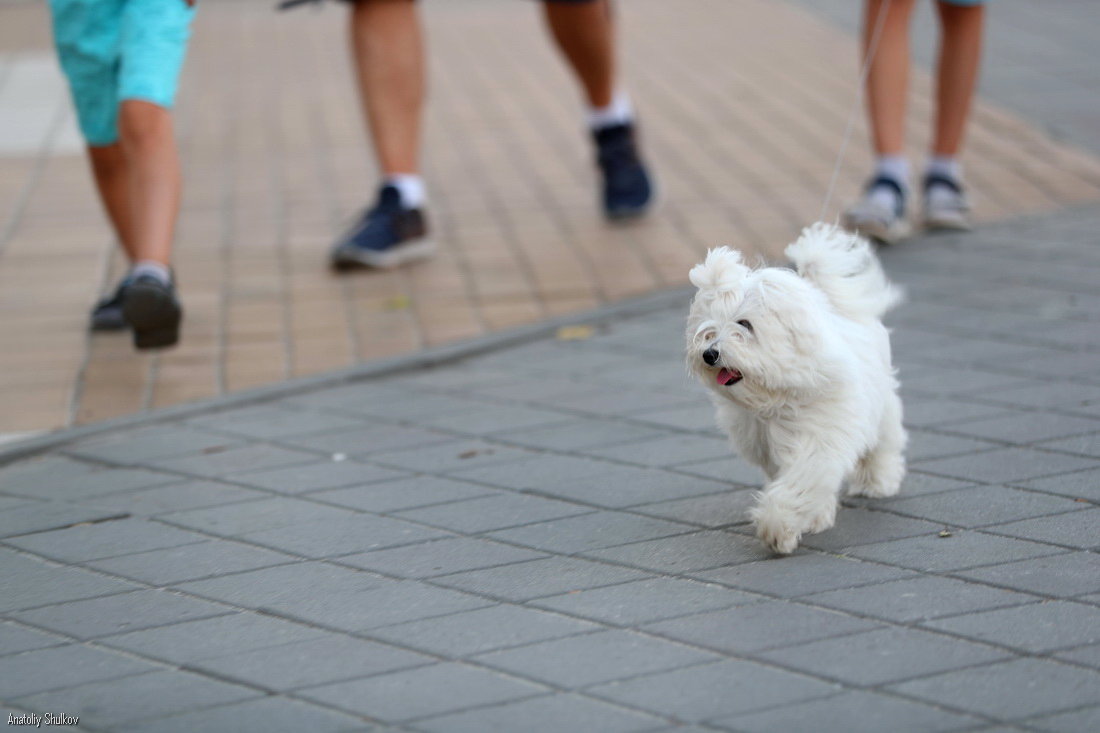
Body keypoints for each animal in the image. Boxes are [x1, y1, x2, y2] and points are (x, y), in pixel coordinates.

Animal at [682, 222, 906, 554]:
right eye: (708, 331)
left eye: (744, 324)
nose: (709, 354)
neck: (778, 394)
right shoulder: (766, 443)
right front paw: (811, 518)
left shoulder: (820, 438)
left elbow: (802, 480)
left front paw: (778, 527)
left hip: (882, 407)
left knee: (882, 445)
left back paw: (876, 483)